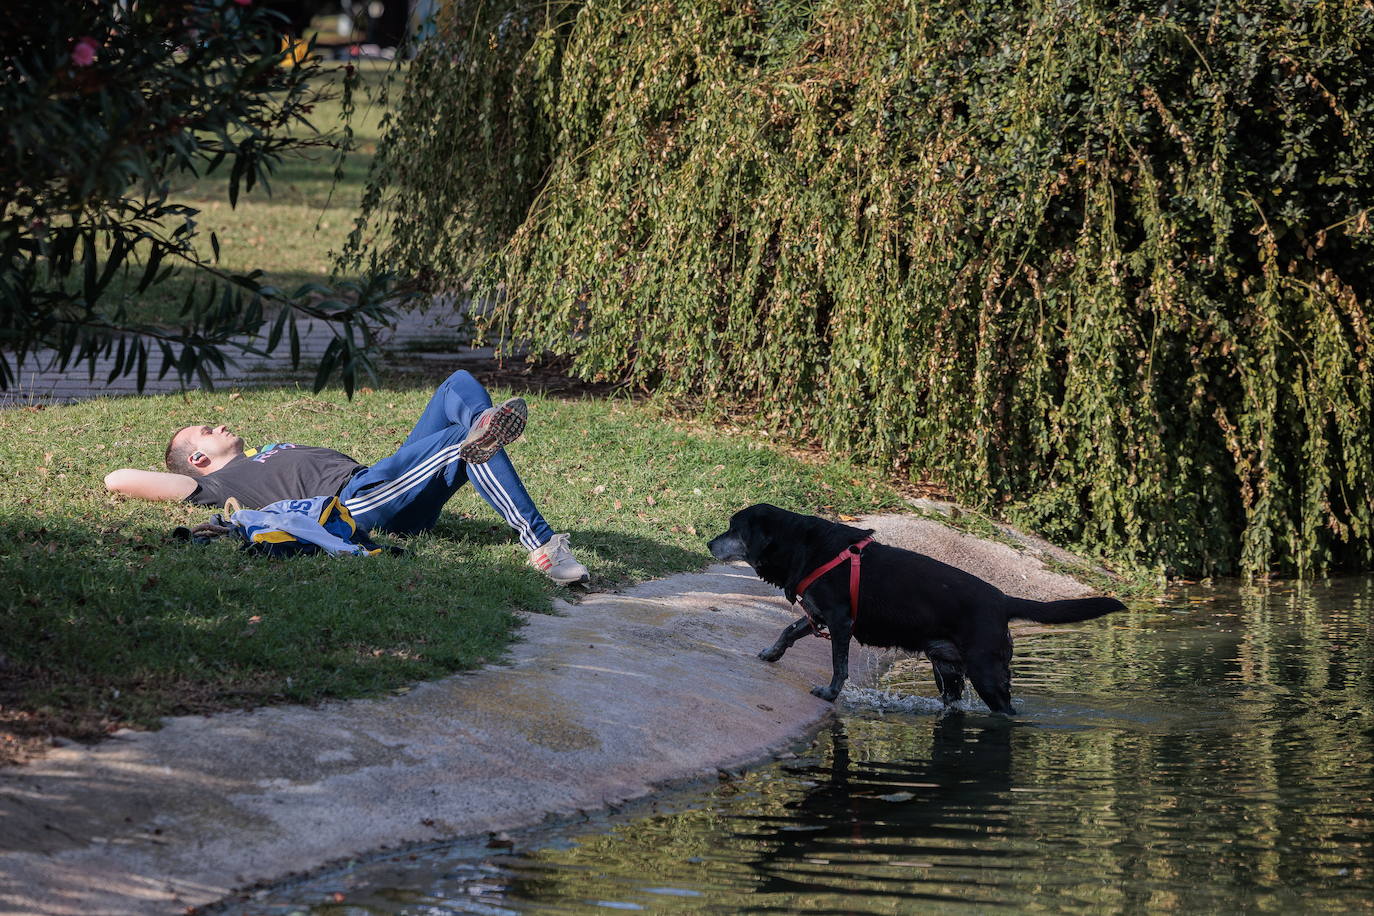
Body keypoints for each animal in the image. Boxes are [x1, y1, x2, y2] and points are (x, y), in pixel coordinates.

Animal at [708, 505, 1126, 714]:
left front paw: (829, 693)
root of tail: (1004, 599)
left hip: (986, 673)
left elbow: (839, 666)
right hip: (948, 670)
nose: (710, 543)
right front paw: (771, 652)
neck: (805, 547)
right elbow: (789, 629)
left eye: (733, 528)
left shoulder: (840, 622)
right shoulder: (819, 616)